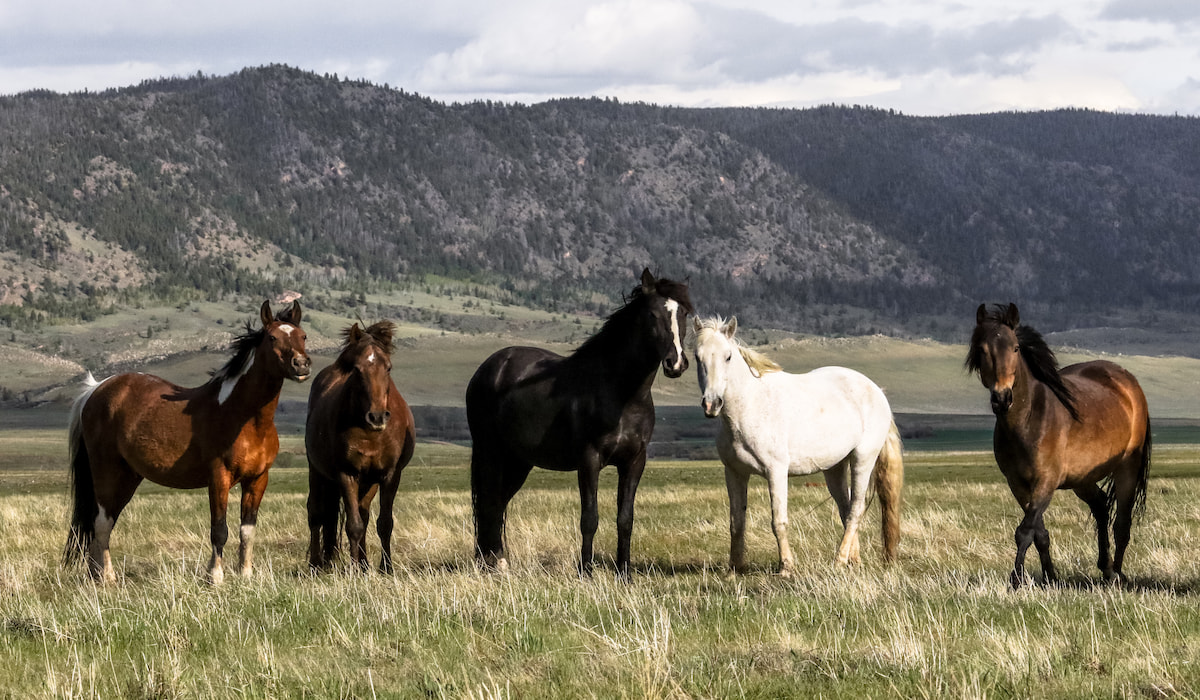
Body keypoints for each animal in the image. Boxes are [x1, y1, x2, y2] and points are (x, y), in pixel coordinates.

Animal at [65, 303, 309, 583]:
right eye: (272, 338)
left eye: (303, 336)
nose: (301, 365)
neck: (246, 419)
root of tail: (95, 390)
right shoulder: (219, 478)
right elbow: (219, 530)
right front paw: (215, 576)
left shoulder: (257, 480)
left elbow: (247, 530)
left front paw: (246, 575)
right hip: (107, 471)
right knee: (102, 523)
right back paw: (107, 577)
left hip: (128, 476)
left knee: (103, 522)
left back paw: (95, 574)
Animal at [304, 324, 417, 576]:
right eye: (357, 369)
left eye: (388, 367)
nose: (377, 417)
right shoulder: (346, 474)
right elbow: (353, 525)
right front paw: (354, 570)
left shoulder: (390, 475)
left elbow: (383, 523)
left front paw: (386, 568)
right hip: (317, 471)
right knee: (316, 513)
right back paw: (316, 564)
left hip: (368, 481)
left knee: (362, 514)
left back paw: (364, 565)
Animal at [465, 268, 696, 581]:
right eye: (652, 314)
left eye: (683, 313)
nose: (676, 363)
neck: (622, 393)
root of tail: (489, 368)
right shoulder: (589, 460)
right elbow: (590, 517)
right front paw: (586, 572)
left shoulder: (634, 461)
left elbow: (625, 518)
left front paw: (624, 573)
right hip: (491, 453)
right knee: (489, 503)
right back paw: (492, 565)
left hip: (518, 461)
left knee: (498, 503)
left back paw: (495, 561)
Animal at [691, 316, 902, 576]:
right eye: (697, 357)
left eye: (728, 356)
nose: (712, 404)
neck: (749, 407)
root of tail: (877, 391)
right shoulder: (734, 473)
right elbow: (736, 522)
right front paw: (734, 569)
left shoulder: (776, 472)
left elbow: (778, 521)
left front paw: (786, 567)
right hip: (835, 468)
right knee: (845, 508)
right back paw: (853, 560)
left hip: (863, 459)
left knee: (856, 510)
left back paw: (839, 561)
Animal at [964, 303, 1152, 588]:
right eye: (982, 349)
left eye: (1015, 348)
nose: (1002, 398)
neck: (1028, 420)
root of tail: (1129, 383)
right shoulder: (1018, 484)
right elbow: (1038, 533)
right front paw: (1050, 577)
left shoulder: (1046, 481)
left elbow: (1025, 531)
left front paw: (1015, 581)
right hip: (1082, 478)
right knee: (1101, 507)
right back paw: (1105, 567)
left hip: (1126, 468)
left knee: (1122, 523)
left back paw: (1117, 575)